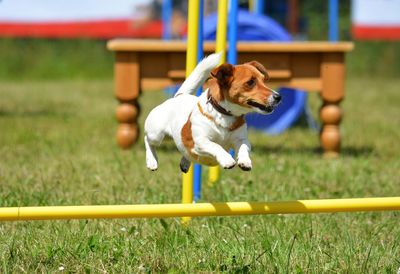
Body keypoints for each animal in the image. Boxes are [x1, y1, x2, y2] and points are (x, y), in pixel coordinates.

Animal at [145, 53, 282, 173]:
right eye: (250, 82)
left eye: (264, 80)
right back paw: (152, 161)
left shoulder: (241, 139)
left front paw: (245, 161)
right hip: (156, 133)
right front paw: (227, 160)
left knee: (185, 152)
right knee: (148, 140)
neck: (225, 115)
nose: (278, 97)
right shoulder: (201, 142)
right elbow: (216, 146)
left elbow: (244, 147)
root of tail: (179, 96)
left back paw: (185, 162)